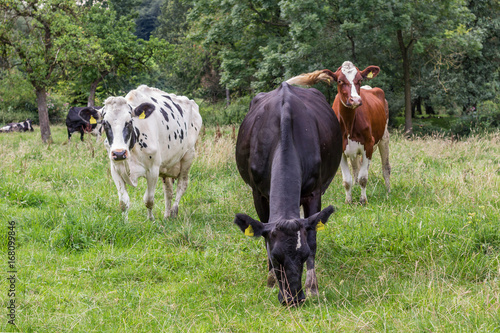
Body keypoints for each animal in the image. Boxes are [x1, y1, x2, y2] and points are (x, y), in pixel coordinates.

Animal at [100, 84, 202, 219]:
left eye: (130, 122)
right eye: (105, 123)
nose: (119, 153)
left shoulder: (153, 170)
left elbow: (148, 200)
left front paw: (150, 219)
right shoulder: (115, 169)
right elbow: (123, 202)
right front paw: (124, 221)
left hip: (188, 156)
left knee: (182, 185)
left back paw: (174, 211)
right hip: (166, 166)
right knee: (168, 190)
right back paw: (166, 215)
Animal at [234, 81, 344, 304]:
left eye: (304, 255)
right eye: (276, 257)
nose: (293, 298)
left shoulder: (314, 192)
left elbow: (312, 237)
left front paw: (312, 286)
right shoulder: (259, 194)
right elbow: (264, 234)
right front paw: (270, 279)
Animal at [286, 61, 390, 204]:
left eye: (359, 80)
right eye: (340, 81)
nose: (355, 100)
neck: (349, 124)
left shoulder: (368, 145)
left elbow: (363, 178)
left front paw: (363, 200)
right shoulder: (340, 149)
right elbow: (347, 180)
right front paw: (348, 201)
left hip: (384, 138)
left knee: (386, 167)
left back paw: (388, 190)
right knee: (356, 169)